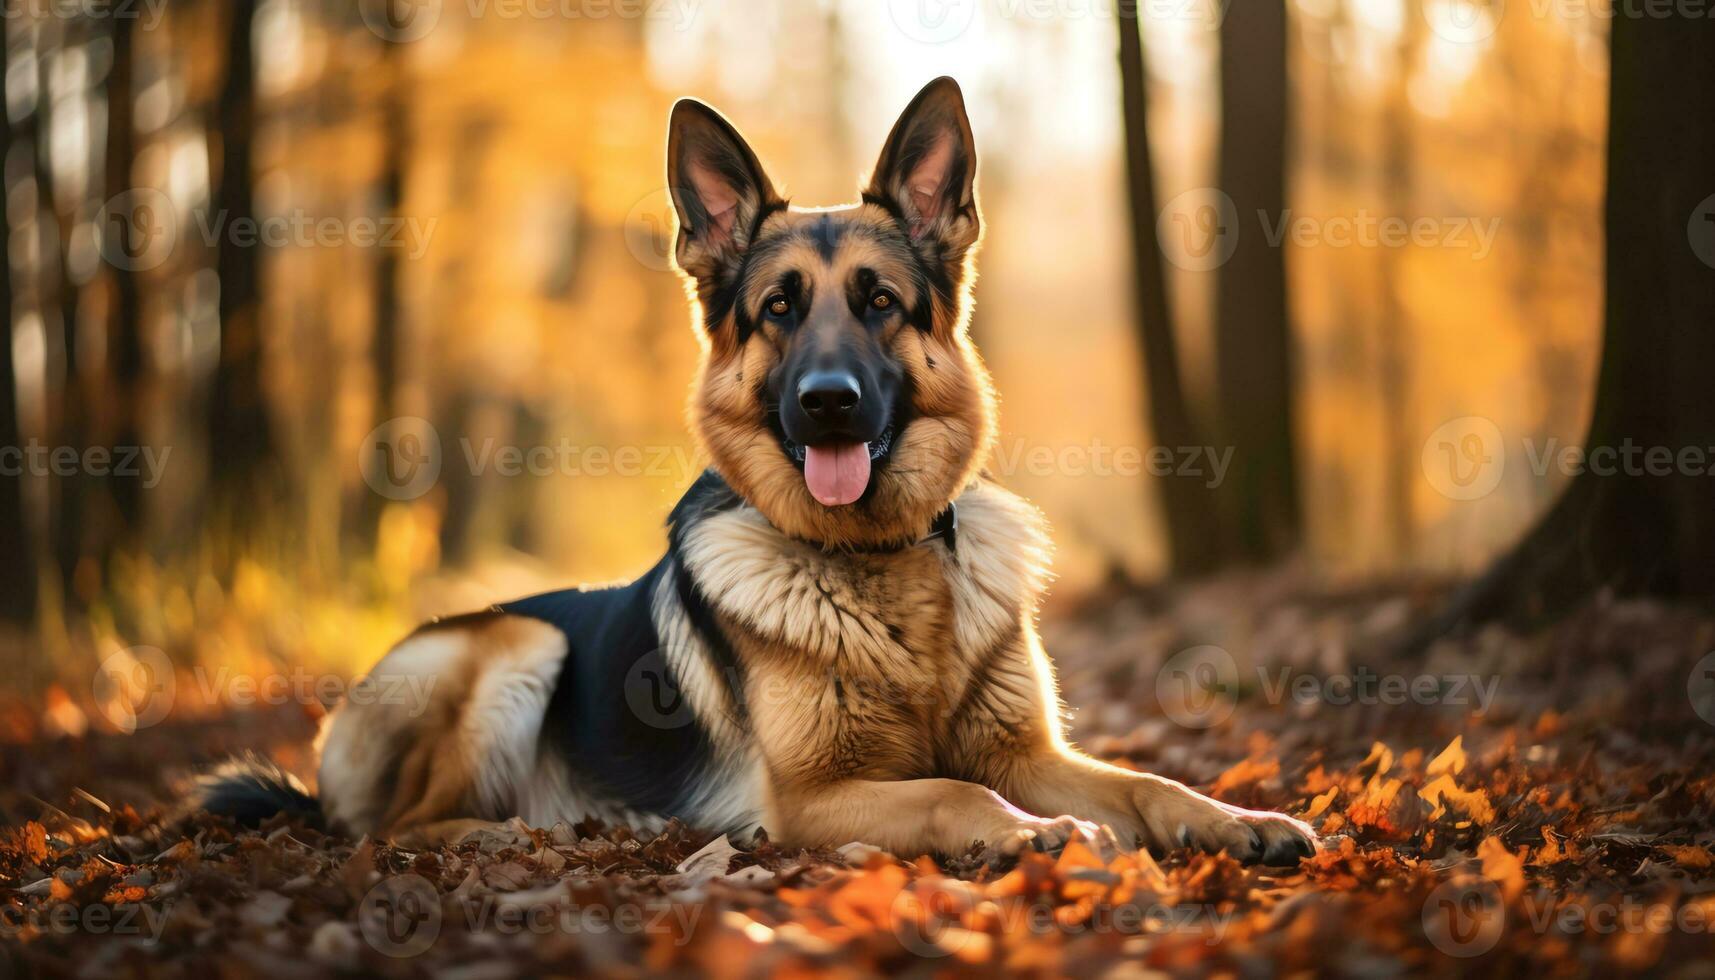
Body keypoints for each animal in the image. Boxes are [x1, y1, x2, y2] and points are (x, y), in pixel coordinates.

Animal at [207, 80, 1317, 871]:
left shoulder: (1027, 754)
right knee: (392, 827)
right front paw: (1027, 832)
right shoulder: (814, 798)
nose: (827, 401)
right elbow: (951, 792)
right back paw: (505, 833)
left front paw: (1235, 816)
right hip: (515, 644)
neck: (882, 560)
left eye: (878, 302)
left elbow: (1141, 782)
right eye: (778, 309)